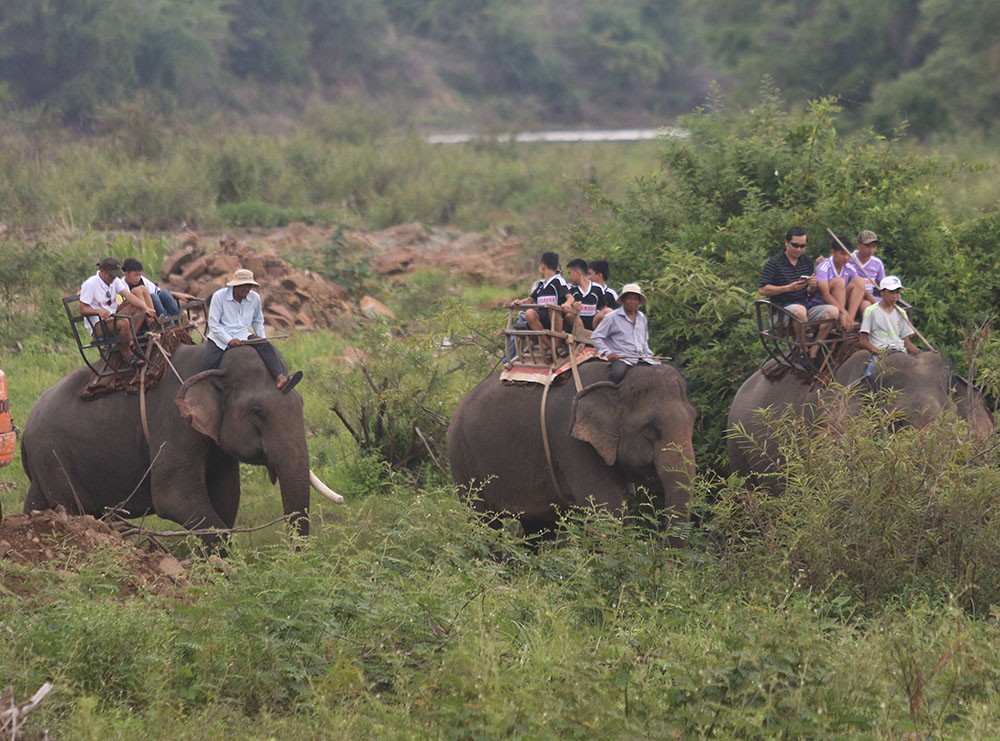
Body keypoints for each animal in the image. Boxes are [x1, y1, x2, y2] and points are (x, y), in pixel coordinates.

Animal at [20, 342, 344, 544]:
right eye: (258, 412)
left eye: (300, 404)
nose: (297, 558)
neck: (213, 365)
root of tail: (24, 431)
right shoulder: (173, 423)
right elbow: (173, 497)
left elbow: (227, 495)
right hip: (52, 457)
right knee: (73, 508)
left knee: (36, 503)